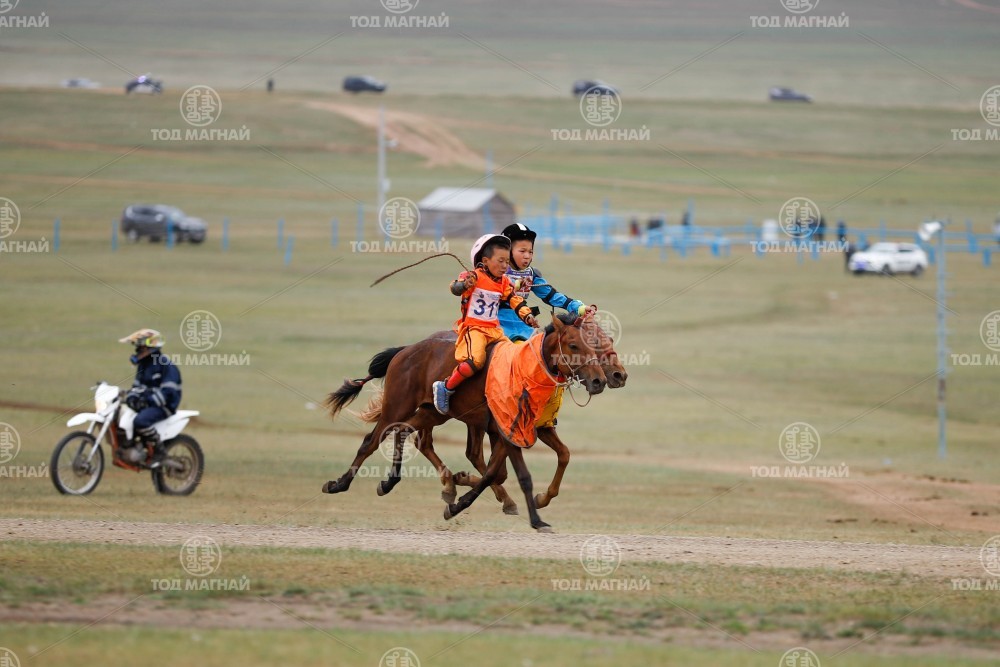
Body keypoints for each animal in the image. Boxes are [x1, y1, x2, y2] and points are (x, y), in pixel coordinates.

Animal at [321, 313, 607, 531]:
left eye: (595, 346)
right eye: (573, 345)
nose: (600, 380)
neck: (526, 370)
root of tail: (407, 350)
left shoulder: (521, 430)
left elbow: (499, 471)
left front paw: (459, 502)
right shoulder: (506, 431)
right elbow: (518, 475)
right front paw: (536, 519)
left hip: (433, 412)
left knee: (404, 433)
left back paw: (393, 482)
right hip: (397, 405)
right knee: (372, 441)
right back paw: (339, 484)